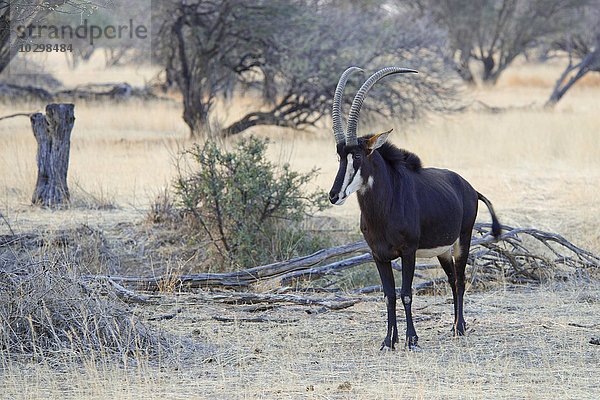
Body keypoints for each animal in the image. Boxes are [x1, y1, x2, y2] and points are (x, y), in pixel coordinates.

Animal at [328, 68, 502, 350]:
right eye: (340, 157)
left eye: (358, 156)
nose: (334, 195)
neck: (384, 210)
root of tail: (469, 188)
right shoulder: (378, 255)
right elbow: (389, 295)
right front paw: (389, 340)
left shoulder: (407, 251)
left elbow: (406, 293)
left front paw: (411, 339)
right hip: (443, 251)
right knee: (452, 280)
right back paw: (456, 325)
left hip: (462, 241)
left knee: (461, 280)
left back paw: (459, 328)